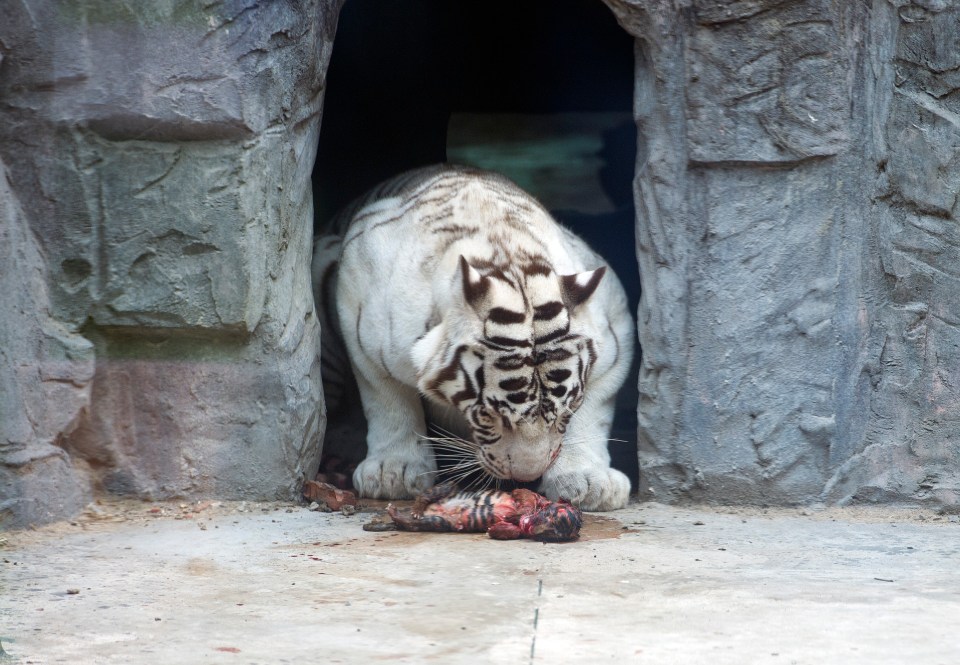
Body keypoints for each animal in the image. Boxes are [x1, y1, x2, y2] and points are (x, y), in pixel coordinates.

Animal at [312, 165, 632, 508]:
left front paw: (588, 480)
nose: (527, 476)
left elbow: (592, 413)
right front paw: (393, 471)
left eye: (566, 410)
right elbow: (388, 397)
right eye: (491, 416)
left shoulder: (615, 327)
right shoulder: (358, 304)